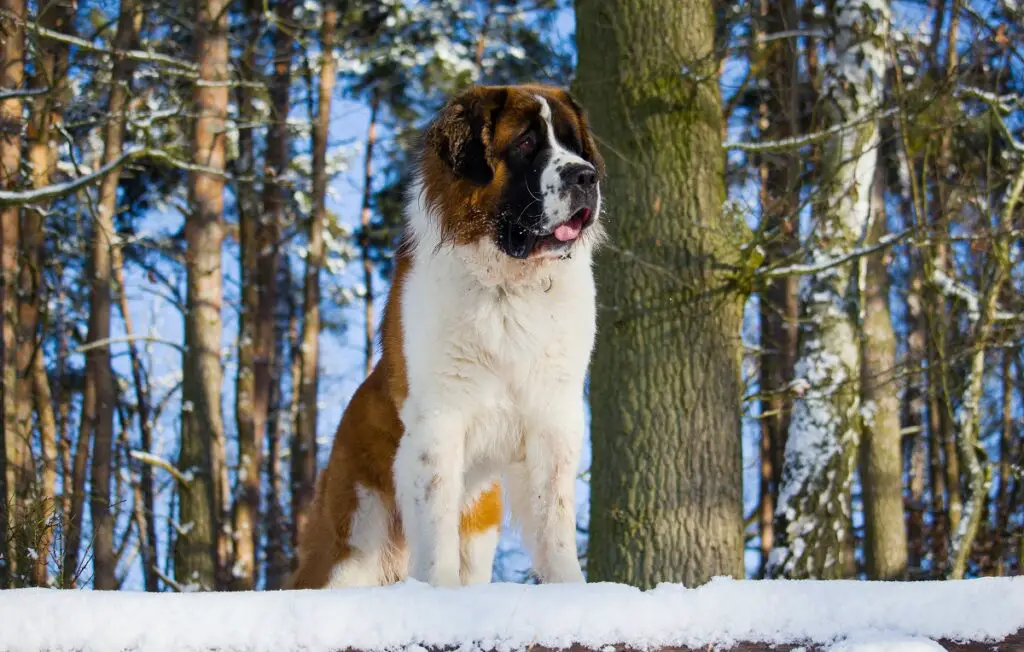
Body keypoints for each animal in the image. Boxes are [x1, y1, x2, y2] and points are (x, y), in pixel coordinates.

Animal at [288, 83, 602, 585]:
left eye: (574, 145)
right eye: (527, 143)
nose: (585, 176)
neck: (507, 286)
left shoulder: (554, 416)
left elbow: (554, 518)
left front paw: (568, 588)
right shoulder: (439, 419)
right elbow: (435, 528)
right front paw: (436, 591)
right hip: (352, 539)